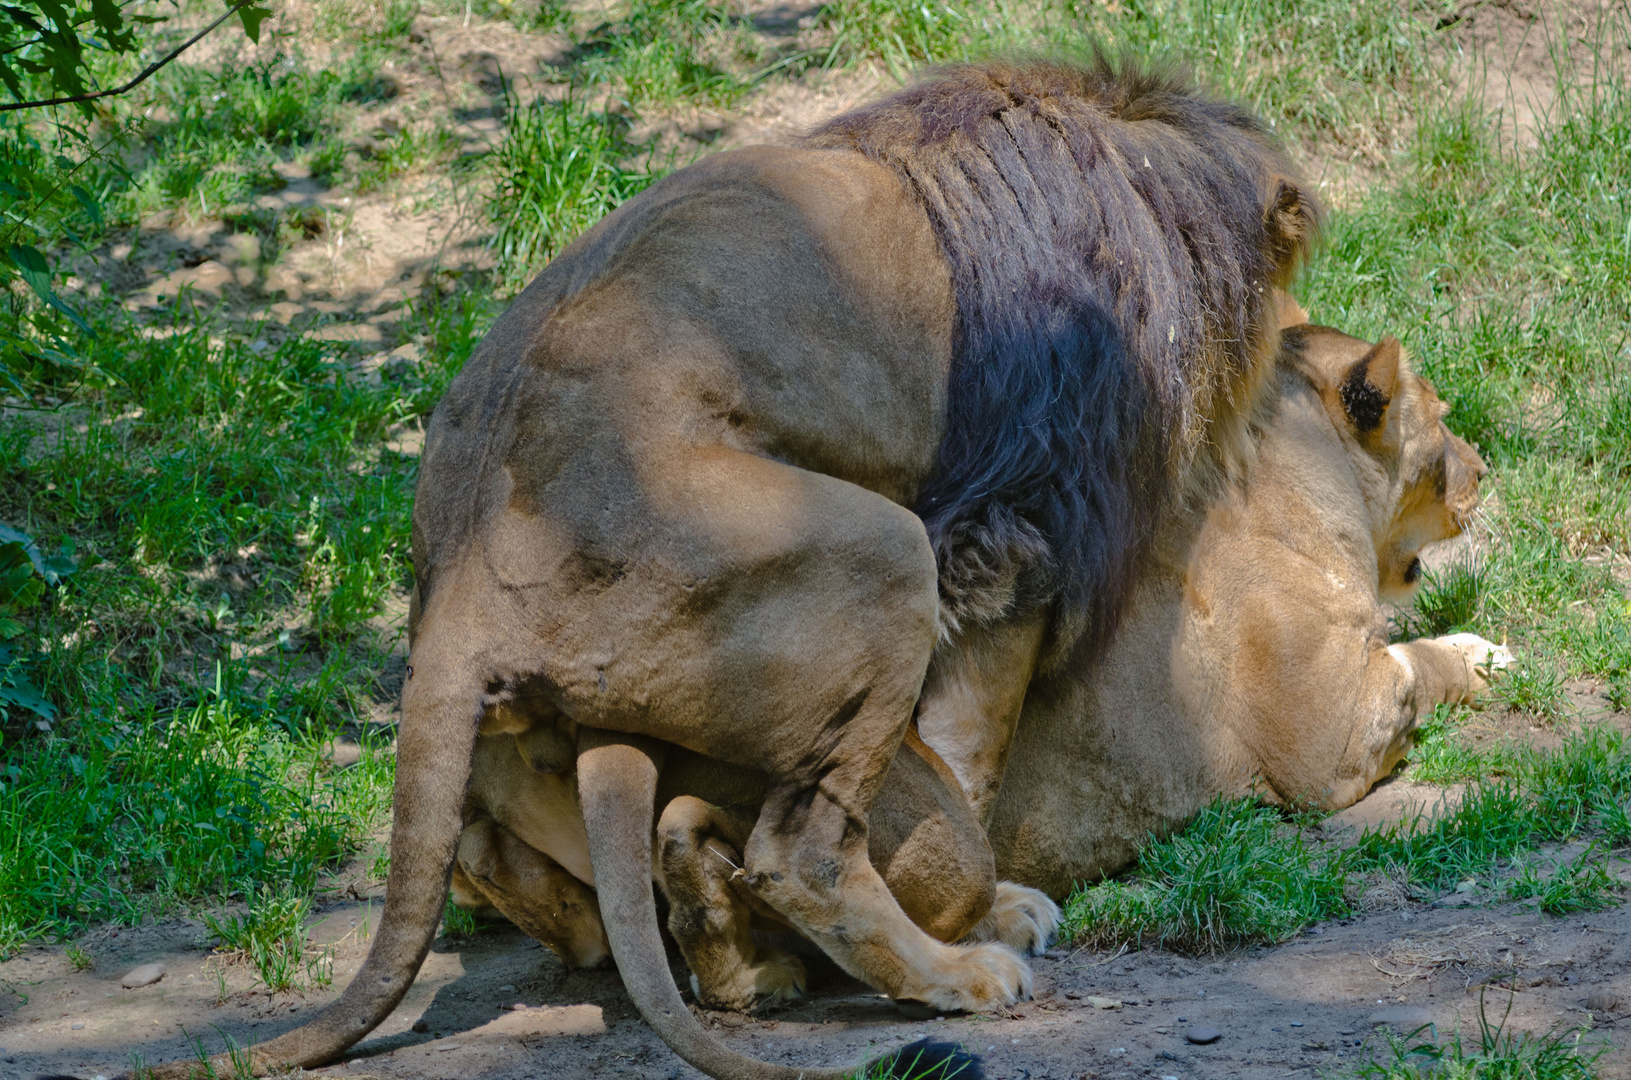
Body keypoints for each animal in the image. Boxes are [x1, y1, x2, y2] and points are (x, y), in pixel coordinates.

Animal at [140, 57, 1311, 1080]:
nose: (1311, 348)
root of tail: (460, 590)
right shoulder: (1018, 516)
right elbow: (969, 742)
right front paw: (987, 901)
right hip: (880, 551)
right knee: (800, 850)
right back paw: (953, 968)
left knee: (509, 854)